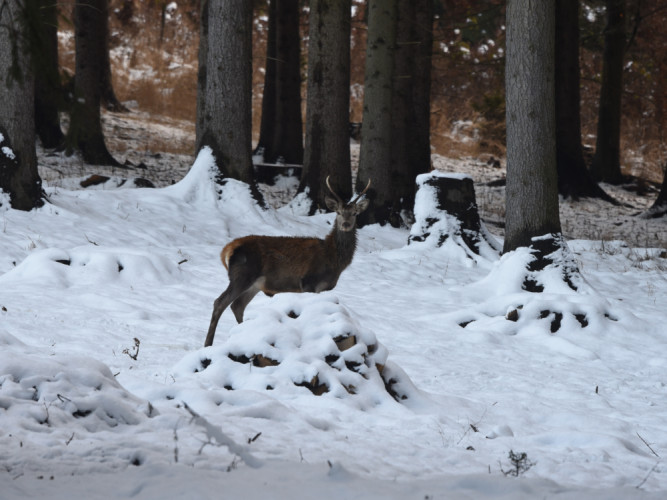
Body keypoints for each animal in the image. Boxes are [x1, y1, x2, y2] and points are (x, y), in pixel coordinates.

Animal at [204, 177, 370, 348]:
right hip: (241, 275)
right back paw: (208, 344)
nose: (346, 224)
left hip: (254, 284)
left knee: (237, 306)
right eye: (338, 212)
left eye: (355, 213)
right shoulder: (308, 282)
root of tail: (229, 248)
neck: (334, 260)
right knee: (219, 302)